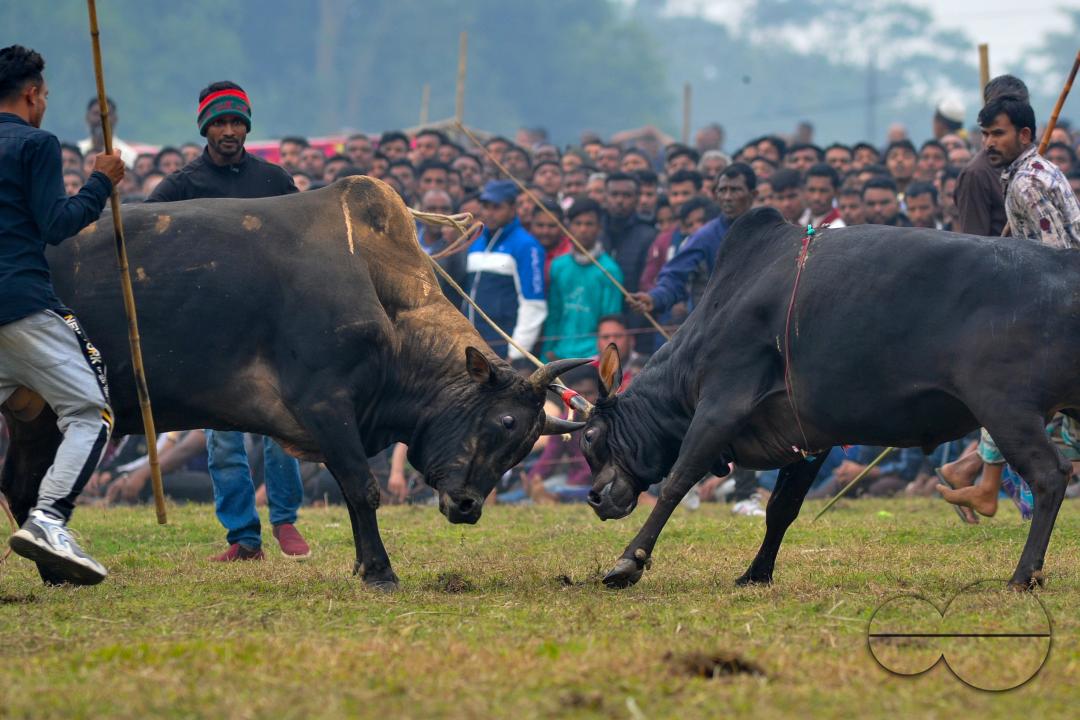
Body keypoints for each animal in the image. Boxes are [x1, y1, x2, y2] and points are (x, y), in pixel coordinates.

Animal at [1, 176, 586, 588]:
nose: (467, 507)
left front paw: (364, 566)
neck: (381, 293)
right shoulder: (326, 403)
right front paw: (380, 572)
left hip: (37, 414)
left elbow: (350, 493)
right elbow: (363, 488)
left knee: (21, 483)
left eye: (525, 447)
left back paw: (55, 570)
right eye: (504, 421)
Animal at [580, 207, 1080, 591]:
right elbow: (780, 509)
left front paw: (627, 562)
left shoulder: (720, 405)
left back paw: (1024, 574)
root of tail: (1066, 266)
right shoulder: (808, 438)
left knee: (1051, 475)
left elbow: (676, 483)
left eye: (589, 437)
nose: (596, 498)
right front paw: (756, 573)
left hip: (1005, 409)